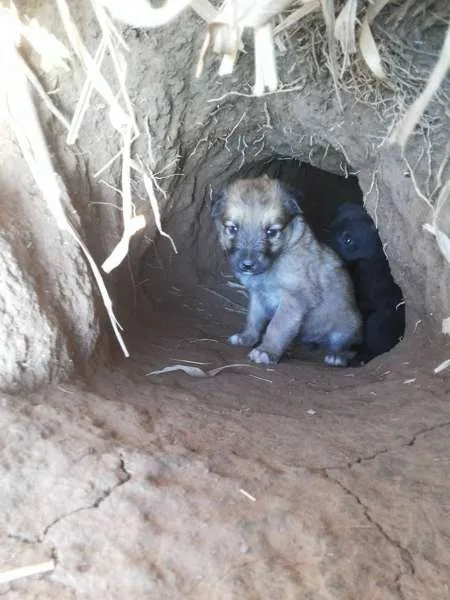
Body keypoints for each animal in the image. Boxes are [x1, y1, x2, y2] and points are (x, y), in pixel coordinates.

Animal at [211, 176, 362, 366]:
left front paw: (266, 351)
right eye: (233, 228)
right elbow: (254, 319)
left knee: (347, 347)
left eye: (271, 231)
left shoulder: (295, 298)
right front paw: (247, 337)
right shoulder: (258, 295)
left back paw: (336, 356)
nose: (247, 265)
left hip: (348, 326)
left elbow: (276, 326)